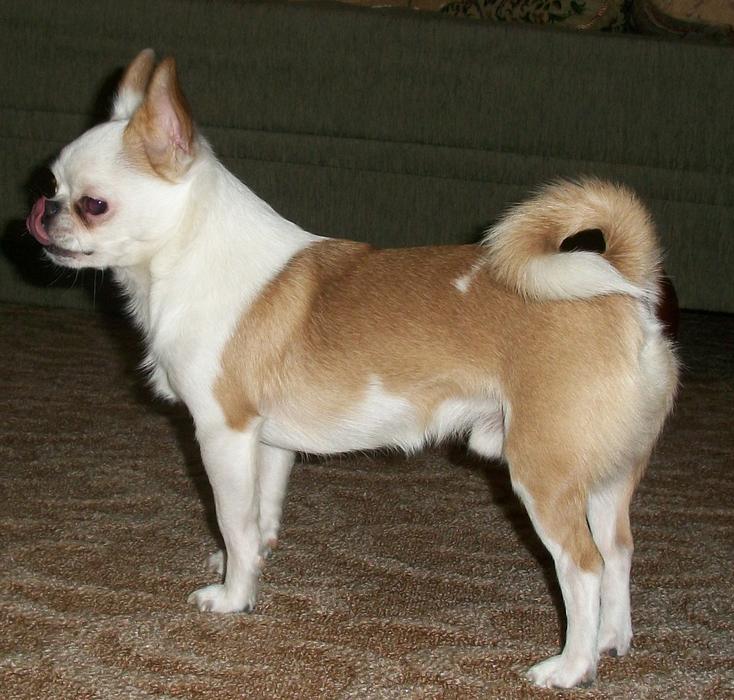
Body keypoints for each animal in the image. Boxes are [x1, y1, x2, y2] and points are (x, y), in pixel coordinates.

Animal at [26, 50, 678, 688]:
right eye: (52, 184)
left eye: (92, 205)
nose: (44, 211)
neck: (189, 258)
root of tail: (625, 289)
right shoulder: (270, 443)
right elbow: (261, 516)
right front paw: (252, 566)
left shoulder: (222, 433)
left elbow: (233, 519)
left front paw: (233, 596)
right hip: (607, 474)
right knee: (619, 552)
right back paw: (612, 641)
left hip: (544, 472)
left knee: (583, 566)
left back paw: (572, 665)